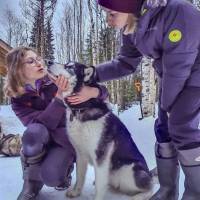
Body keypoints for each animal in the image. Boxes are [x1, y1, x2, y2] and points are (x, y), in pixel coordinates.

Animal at [46, 61, 154, 200]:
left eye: (69, 67)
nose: (48, 61)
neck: (80, 110)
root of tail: (149, 173)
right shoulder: (80, 153)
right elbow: (80, 177)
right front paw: (75, 192)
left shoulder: (101, 157)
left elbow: (99, 184)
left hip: (128, 171)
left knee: (150, 187)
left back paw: (138, 196)